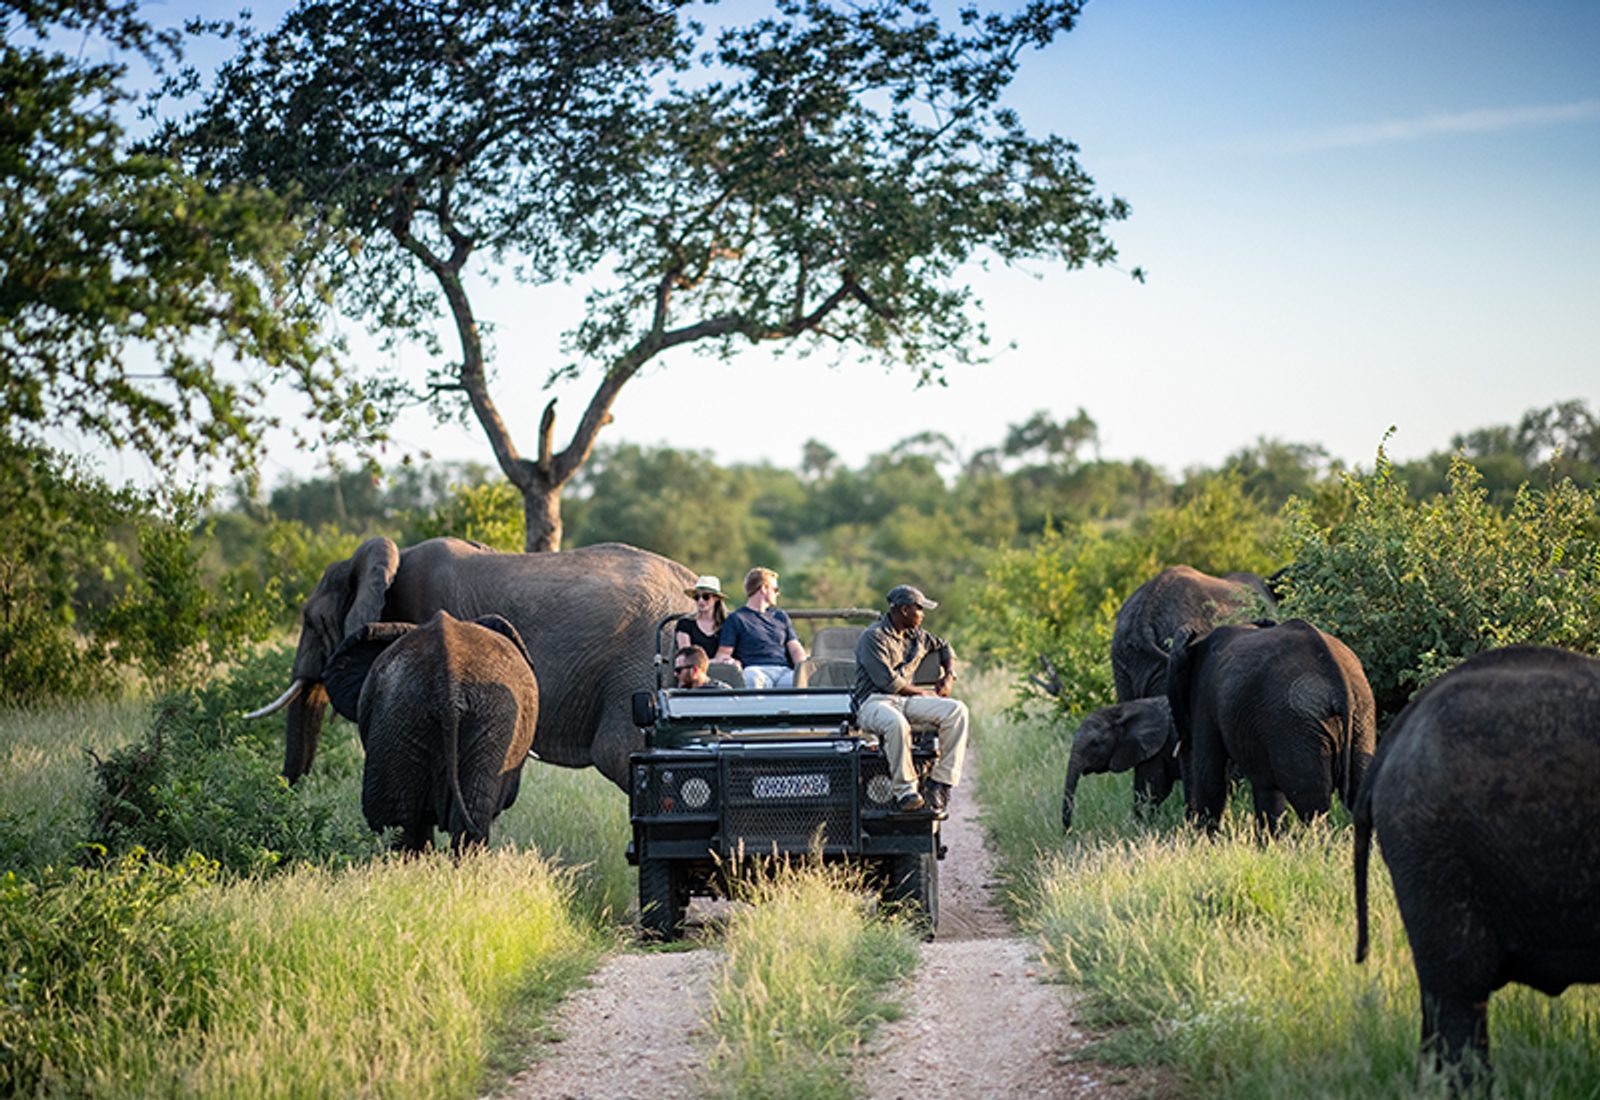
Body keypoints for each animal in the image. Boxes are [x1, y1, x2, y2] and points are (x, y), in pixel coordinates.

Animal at [1060, 696, 1175, 831]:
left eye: (1095, 743)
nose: (1069, 832)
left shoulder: (1158, 749)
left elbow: (1149, 791)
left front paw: (1141, 828)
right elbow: (1158, 791)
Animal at [1166, 618, 1375, 832]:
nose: (1187, 824)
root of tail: (1339, 680)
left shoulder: (1205, 698)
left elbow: (1210, 774)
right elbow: (1266, 788)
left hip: (1297, 726)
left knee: (1312, 806)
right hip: (1360, 717)